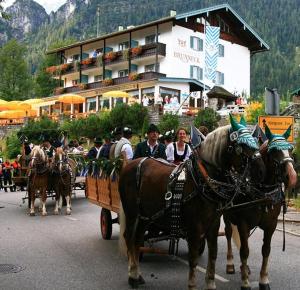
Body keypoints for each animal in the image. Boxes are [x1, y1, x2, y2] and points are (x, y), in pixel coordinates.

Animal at [118, 116, 266, 288]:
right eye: (242, 145)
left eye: (256, 142)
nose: (261, 171)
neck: (202, 178)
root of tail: (132, 164)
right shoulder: (194, 227)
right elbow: (193, 257)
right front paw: (192, 285)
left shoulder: (213, 224)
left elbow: (213, 253)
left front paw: (210, 283)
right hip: (132, 213)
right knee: (129, 237)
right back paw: (132, 276)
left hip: (146, 216)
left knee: (137, 240)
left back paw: (138, 275)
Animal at [224, 125, 296, 290]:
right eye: (274, 151)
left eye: (290, 148)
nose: (293, 176)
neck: (262, 192)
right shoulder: (243, 222)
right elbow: (244, 251)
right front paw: (245, 283)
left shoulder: (271, 225)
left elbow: (266, 250)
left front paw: (263, 280)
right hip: (225, 214)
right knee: (229, 233)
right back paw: (231, 264)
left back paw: (244, 268)